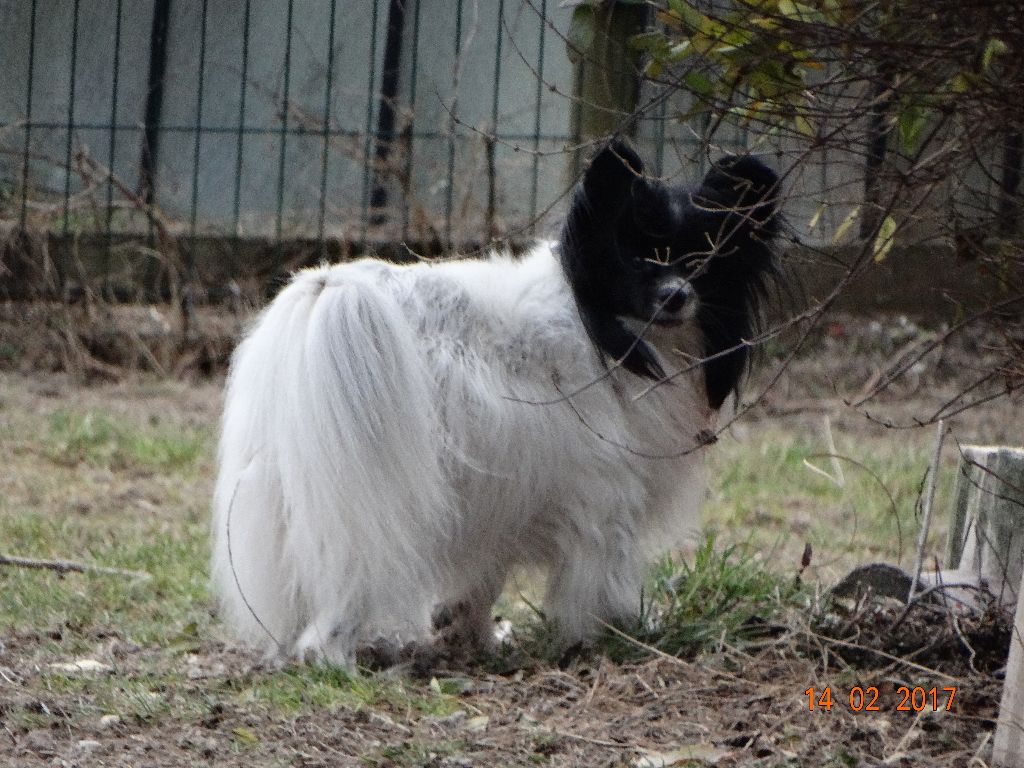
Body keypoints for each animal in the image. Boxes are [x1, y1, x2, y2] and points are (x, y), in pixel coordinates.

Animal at [211, 140, 778, 667]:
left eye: (703, 263)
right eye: (636, 257)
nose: (676, 296)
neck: (615, 332)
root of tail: (334, 288)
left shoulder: (503, 498)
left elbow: (481, 582)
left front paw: (472, 637)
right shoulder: (605, 494)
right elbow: (604, 579)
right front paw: (619, 636)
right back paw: (333, 659)